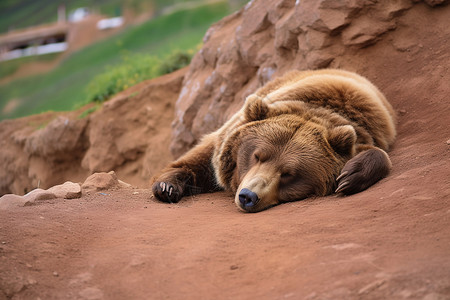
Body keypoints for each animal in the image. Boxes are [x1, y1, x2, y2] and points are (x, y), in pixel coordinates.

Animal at [153, 69, 396, 212]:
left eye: (288, 173)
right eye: (257, 156)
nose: (248, 196)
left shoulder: (363, 133)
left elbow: (376, 153)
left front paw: (349, 177)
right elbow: (204, 158)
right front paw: (167, 186)